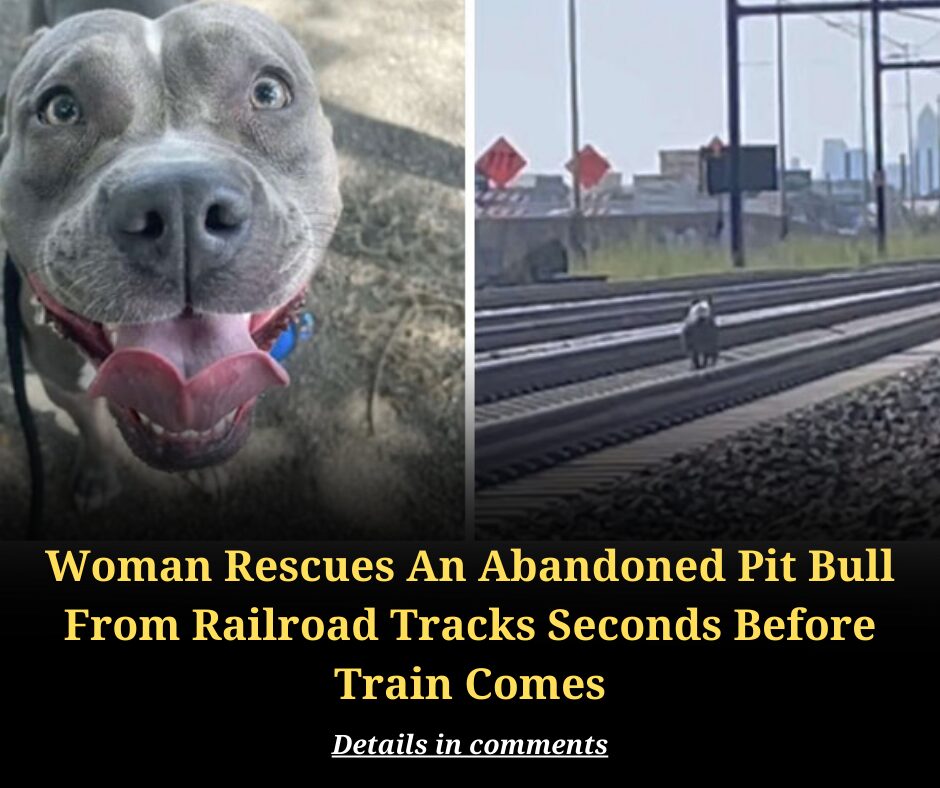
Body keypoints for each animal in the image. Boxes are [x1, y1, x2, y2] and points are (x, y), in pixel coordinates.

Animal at [0, 1, 344, 510]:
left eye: (269, 92)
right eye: (60, 109)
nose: (181, 200)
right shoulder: (60, 383)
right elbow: (92, 428)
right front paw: (98, 474)